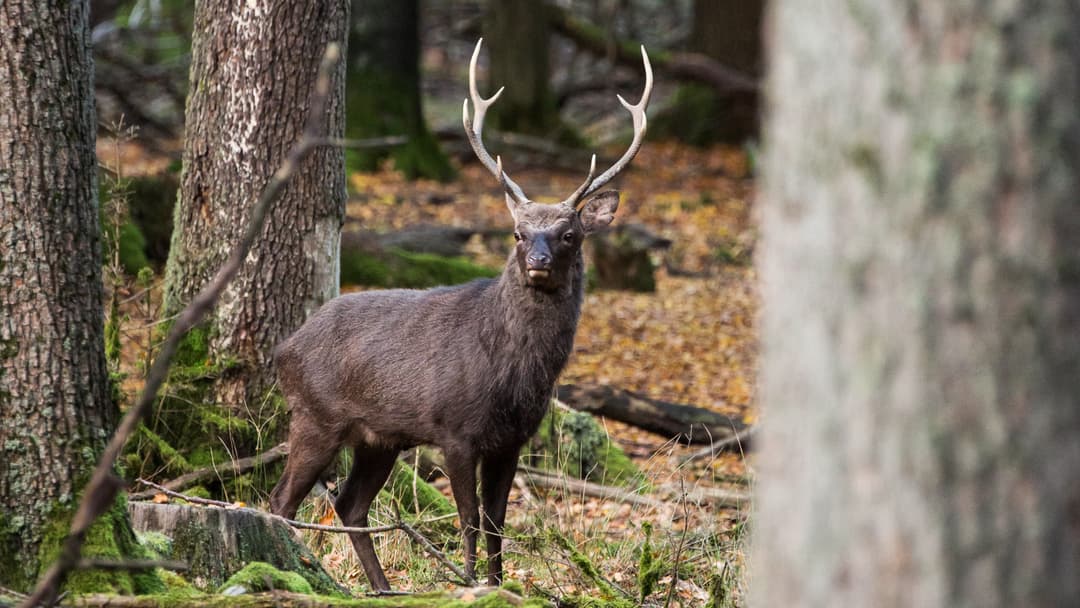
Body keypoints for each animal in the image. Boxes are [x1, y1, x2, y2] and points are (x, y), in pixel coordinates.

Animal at [270, 38, 652, 591]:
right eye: (517, 233)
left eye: (569, 234)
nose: (537, 262)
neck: (511, 374)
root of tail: (283, 348)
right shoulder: (455, 428)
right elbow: (469, 518)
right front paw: (469, 582)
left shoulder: (512, 440)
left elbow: (498, 521)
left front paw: (498, 583)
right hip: (316, 415)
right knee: (280, 500)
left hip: (378, 437)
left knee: (349, 505)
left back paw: (383, 589)